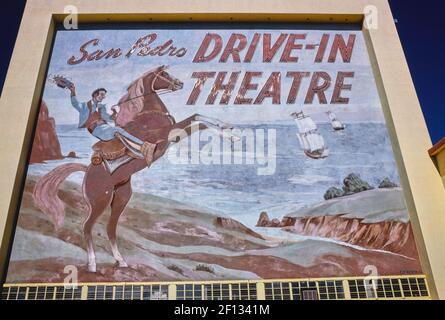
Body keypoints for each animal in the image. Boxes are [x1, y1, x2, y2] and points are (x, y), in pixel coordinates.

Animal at [33, 65, 239, 272]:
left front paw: (228, 130)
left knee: (110, 228)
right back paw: (92, 264)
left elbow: (197, 118)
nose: (180, 83)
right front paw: (231, 135)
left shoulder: (172, 136)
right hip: (100, 202)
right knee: (87, 226)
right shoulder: (168, 135)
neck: (147, 116)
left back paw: (121, 261)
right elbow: (196, 119)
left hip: (121, 198)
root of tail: (87, 171)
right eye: (164, 74)